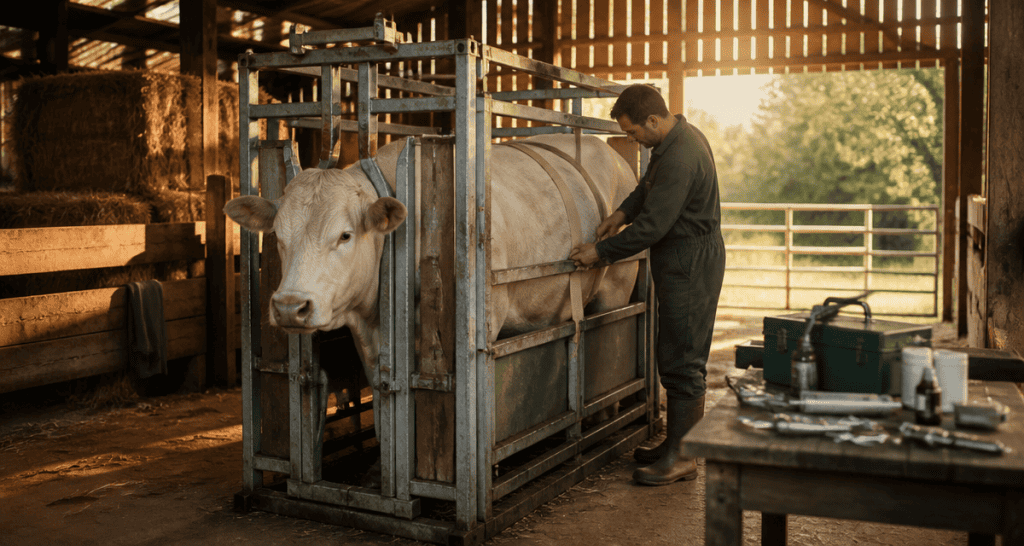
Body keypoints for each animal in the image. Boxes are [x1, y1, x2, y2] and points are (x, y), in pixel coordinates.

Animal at [223, 134, 640, 458]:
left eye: (344, 235)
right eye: (277, 236)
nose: (289, 307)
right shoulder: (371, 342)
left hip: (616, 288)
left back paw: (603, 417)